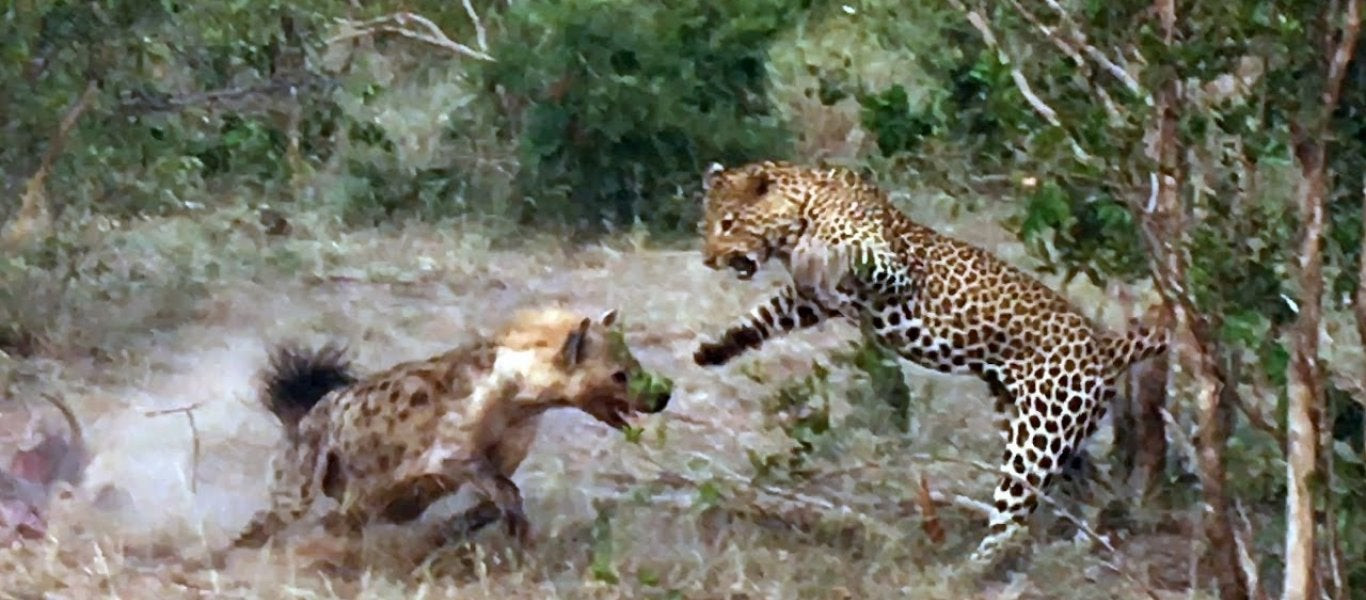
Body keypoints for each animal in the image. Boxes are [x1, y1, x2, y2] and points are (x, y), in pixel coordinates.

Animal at [226, 310, 669, 560]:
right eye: (619, 375)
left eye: (636, 364)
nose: (663, 395)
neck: (518, 398)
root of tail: (306, 414)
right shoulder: (449, 450)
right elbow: (504, 489)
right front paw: (519, 536)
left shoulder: (504, 454)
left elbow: (495, 500)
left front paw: (455, 531)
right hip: (300, 479)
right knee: (272, 519)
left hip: (359, 500)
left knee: (344, 518)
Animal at [688, 160, 1169, 563]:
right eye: (705, 225)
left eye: (728, 223)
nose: (708, 259)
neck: (802, 207)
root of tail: (1104, 344)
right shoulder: (809, 300)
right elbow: (767, 315)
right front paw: (716, 348)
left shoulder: (890, 272)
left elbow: (853, 256)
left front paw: (816, 250)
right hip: (1044, 425)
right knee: (1086, 487)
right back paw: (1084, 537)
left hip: (1038, 436)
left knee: (1012, 517)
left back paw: (971, 571)